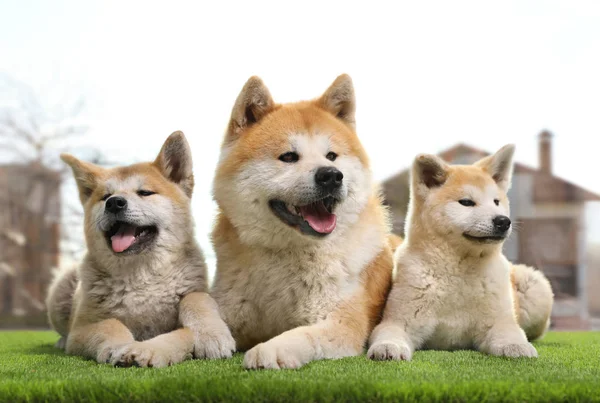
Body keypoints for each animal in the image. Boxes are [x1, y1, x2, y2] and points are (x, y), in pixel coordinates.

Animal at [47, 133, 236, 370]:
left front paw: (211, 336)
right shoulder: (82, 328)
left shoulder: (194, 293)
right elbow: (111, 324)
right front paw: (120, 346)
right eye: (105, 196)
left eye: (145, 192)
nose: (114, 203)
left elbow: (196, 301)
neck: (141, 278)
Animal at [212, 75, 398, 370]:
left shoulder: (340, 322)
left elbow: (301, 335)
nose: (332, 176)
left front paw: (269, 350)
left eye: (332, 156)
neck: (287, 254)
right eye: (288, 156)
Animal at [370, 146, 552, 362]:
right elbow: (390, 334)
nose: (503, 221)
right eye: (466, 202)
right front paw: (388, 347)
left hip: (534, 287)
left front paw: (516, 346)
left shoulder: (499, 321)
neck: (457, 274)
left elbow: (511, 334)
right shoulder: (399, 321)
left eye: (496, 201)